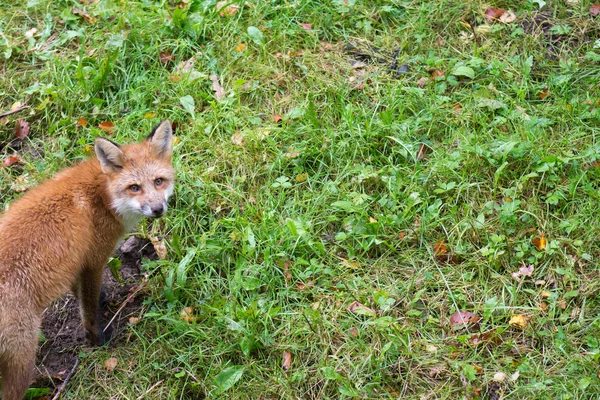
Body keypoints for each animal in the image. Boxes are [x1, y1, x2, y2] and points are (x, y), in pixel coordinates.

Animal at [0, 119, 175, 400]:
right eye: (134, 187)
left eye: (159, 181)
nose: (158, 210)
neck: (103, 197)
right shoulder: (94, 261)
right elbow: (89, 310)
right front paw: (97, 340)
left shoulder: (76, 261)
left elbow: (79, 292)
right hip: (22, 357)